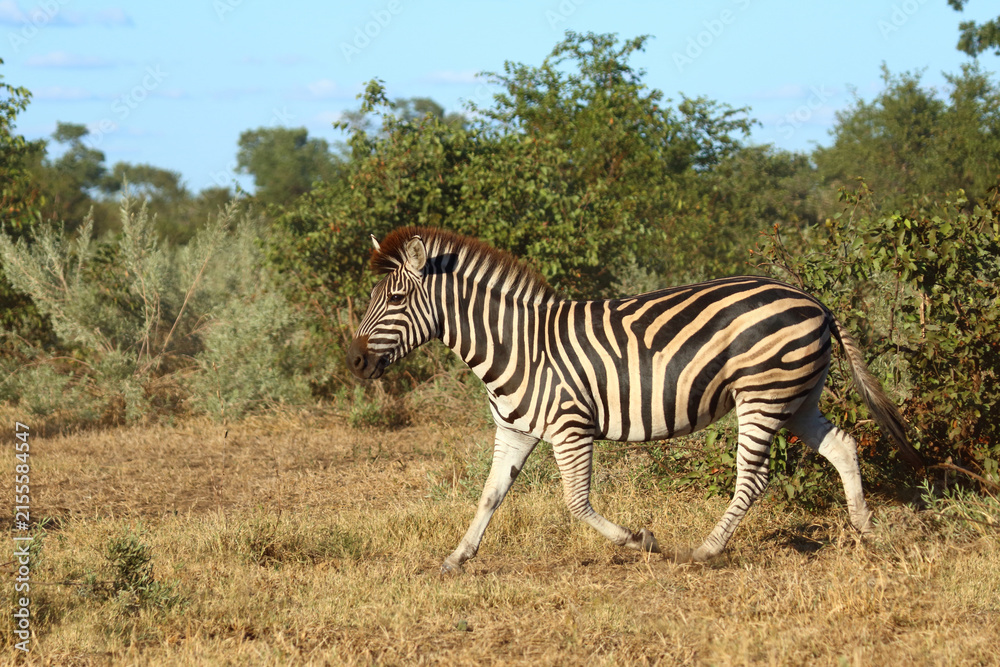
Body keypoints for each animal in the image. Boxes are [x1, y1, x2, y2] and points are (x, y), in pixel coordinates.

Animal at [346, 227, 923, 572]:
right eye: (376, 298)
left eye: (395, 299)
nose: (353, 362)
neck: (519, 346)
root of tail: (813, 300)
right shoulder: (514, 431)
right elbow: (490, 496)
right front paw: (457, 557)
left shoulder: (571, 427)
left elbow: (576, 504)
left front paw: (641, 541)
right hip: (796, 396)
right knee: (843, 446)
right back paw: (866, 531)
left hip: (761, 393)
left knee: (754, 478)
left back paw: (705, 550)